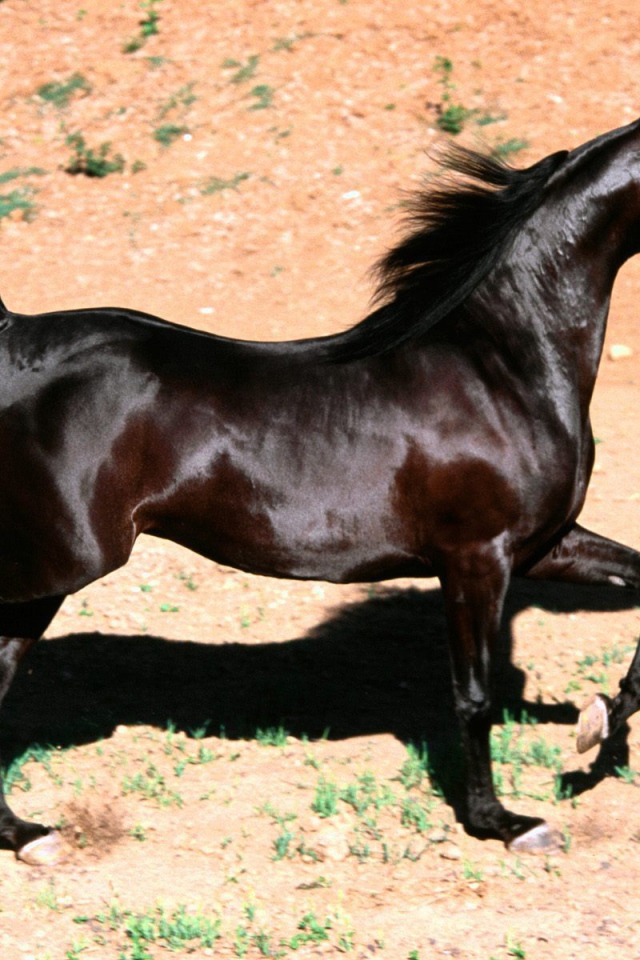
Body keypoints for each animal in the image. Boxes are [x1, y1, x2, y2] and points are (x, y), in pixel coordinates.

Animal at [2, 118, 640, 867]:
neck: (502, 366)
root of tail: (16, 342)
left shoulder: (542, 545)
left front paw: (598, 729)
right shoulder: (475, 558)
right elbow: (475, 697)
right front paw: (504, 822)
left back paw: (26, 833)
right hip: (58, 565)